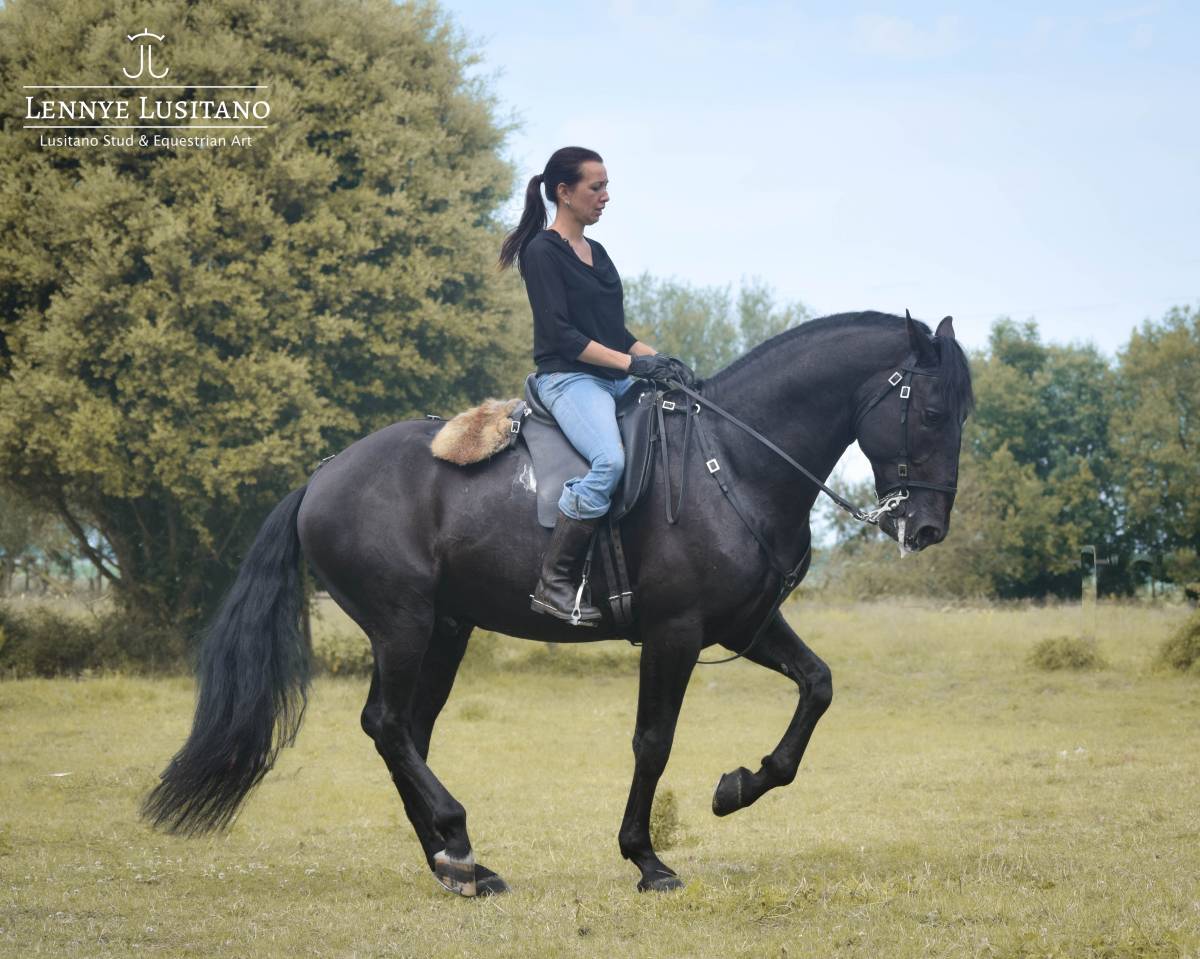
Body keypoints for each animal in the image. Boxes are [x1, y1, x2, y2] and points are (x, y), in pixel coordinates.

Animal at [142, 310, 974, 896]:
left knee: (408, 731)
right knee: (387, 724)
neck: (731, 461)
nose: (926, 527)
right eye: (933, 412)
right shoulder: (675, 632)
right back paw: (456, 840)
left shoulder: (746, 622)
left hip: (444, 629)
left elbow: (817, 686)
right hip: (404, 624)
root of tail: (322, 475)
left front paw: (738, 786)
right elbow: (652, 741)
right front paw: (646, 858)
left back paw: (456, 863)